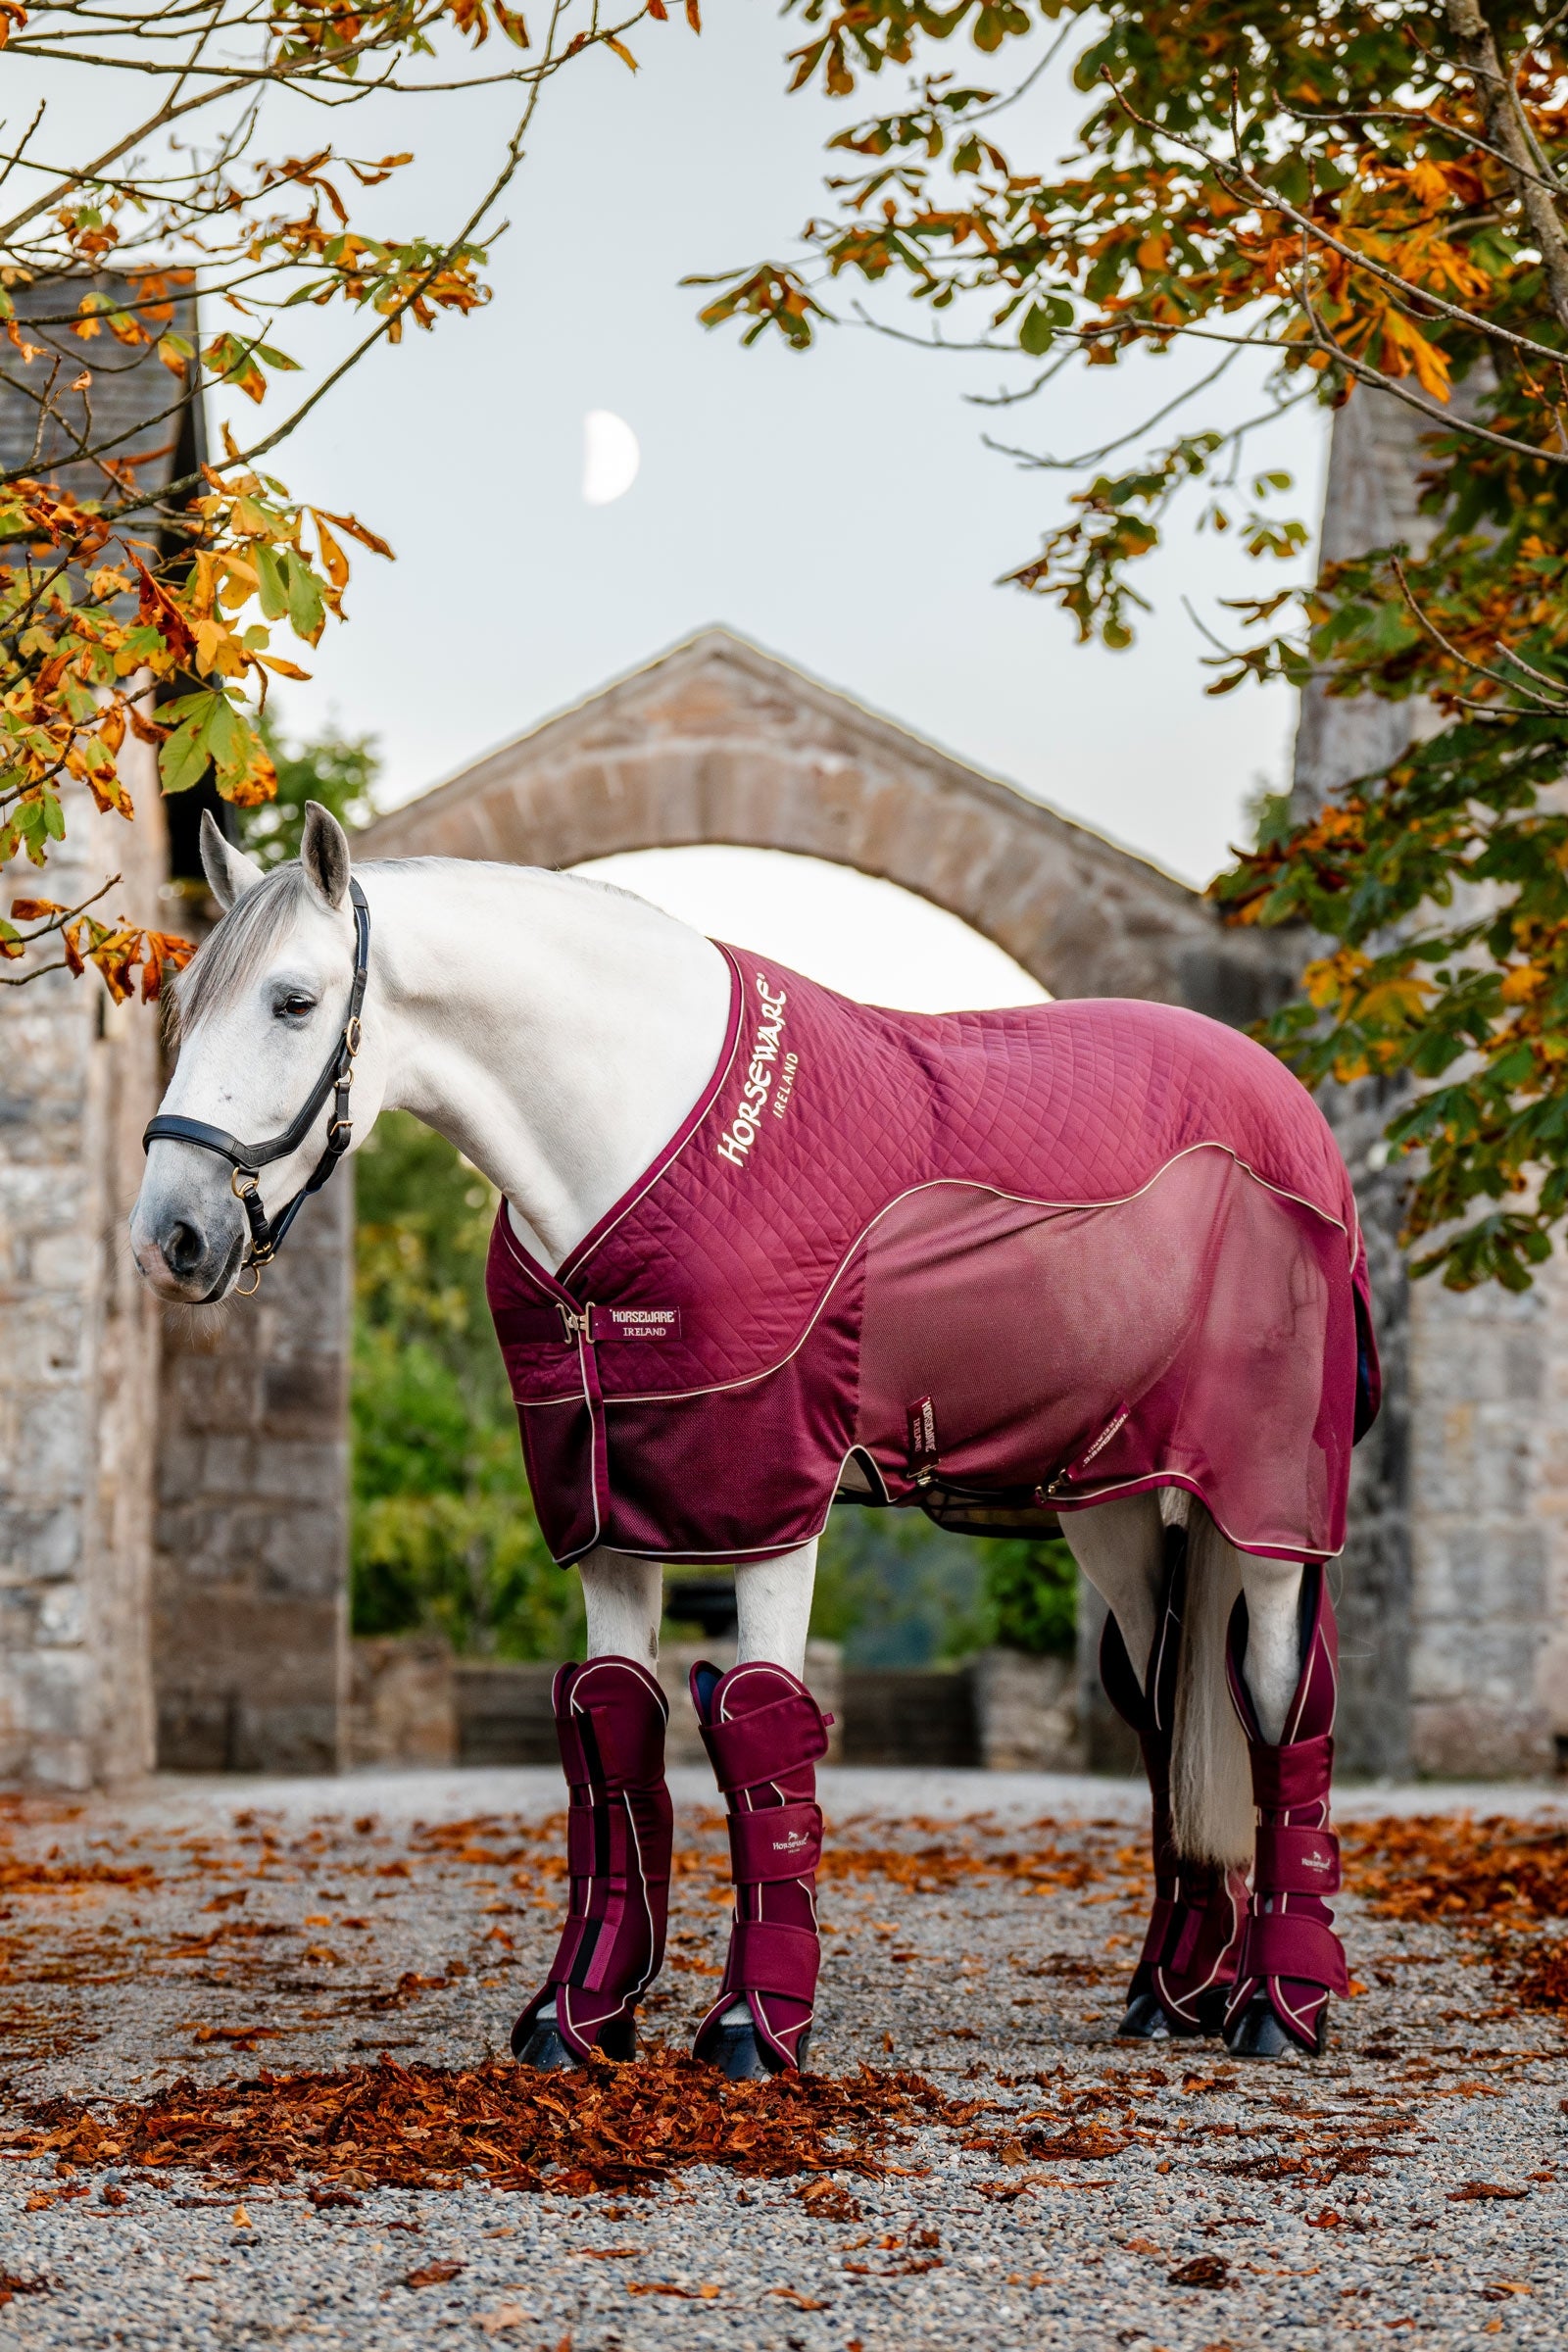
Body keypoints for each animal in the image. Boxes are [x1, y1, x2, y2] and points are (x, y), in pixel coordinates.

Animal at [131, 803, 1377, 2077]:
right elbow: (613, 1730)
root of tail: (1287, 1107)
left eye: (293, 1000)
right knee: (1165, 1704)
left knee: (1275, 1701)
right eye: (182, 1002)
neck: (630, 1147)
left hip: (1267, 1501)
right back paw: (1170, 1991)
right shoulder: (606, 1513)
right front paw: (578, 2016)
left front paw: (753, 2023)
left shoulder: (769, 1498)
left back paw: (1276, 2003)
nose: (171, 1238)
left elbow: (763, 1731)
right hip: (1113, 1501)